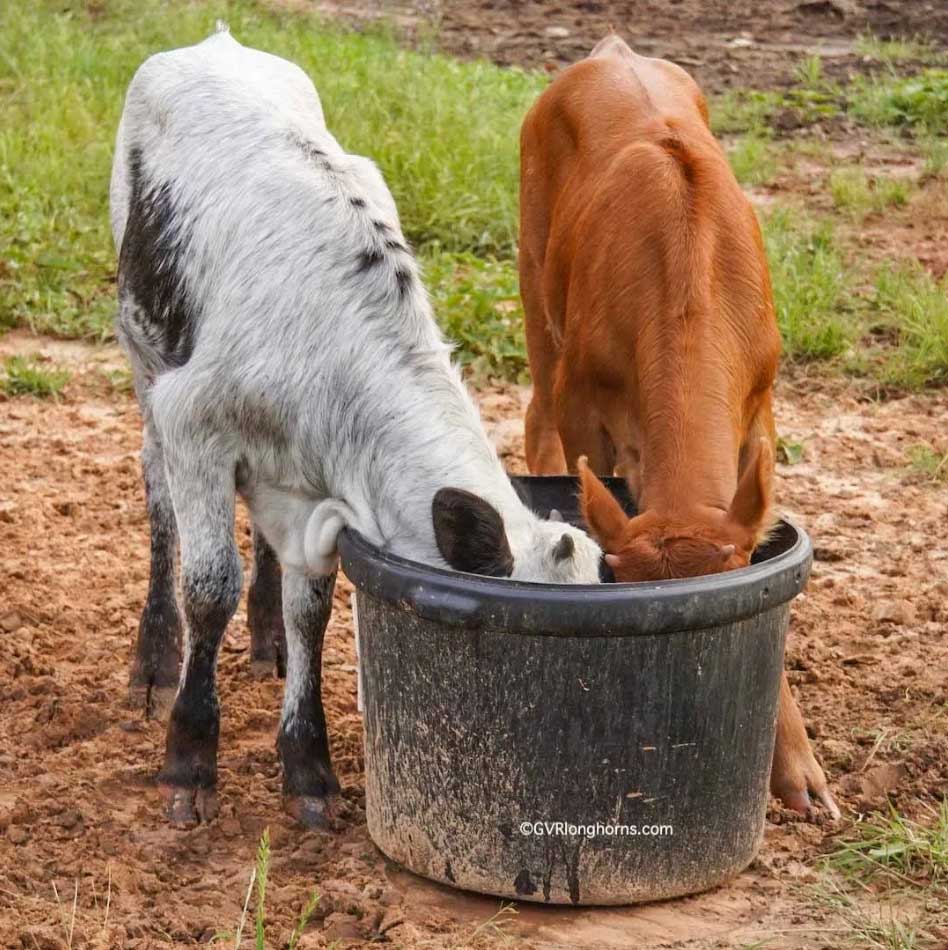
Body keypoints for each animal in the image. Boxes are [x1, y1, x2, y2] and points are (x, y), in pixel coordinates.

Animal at [520, 31, 836, 820]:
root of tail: (612, 50)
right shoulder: (584, 409)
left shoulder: (761, 408)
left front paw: (798, 767)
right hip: (534, 279)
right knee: (535, 412)